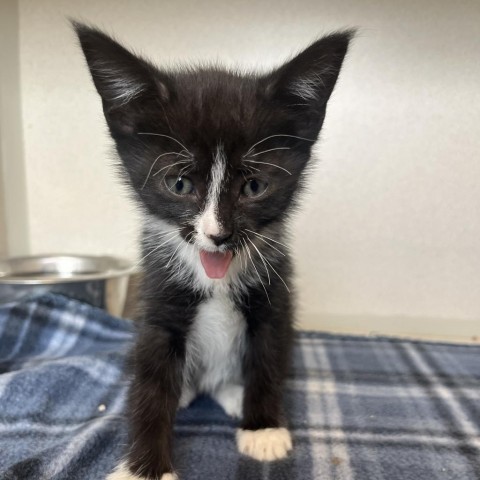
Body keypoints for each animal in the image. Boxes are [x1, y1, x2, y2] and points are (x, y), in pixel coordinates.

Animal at [75, 22, 352, 480]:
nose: (217, 235)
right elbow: (151, 379)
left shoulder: (275, 296)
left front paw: (263, 427)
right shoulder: (158, 300)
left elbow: (267, 357)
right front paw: (144, 468)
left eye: (254, 186)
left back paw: (235, 395)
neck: (216, 275)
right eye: (179, 183)